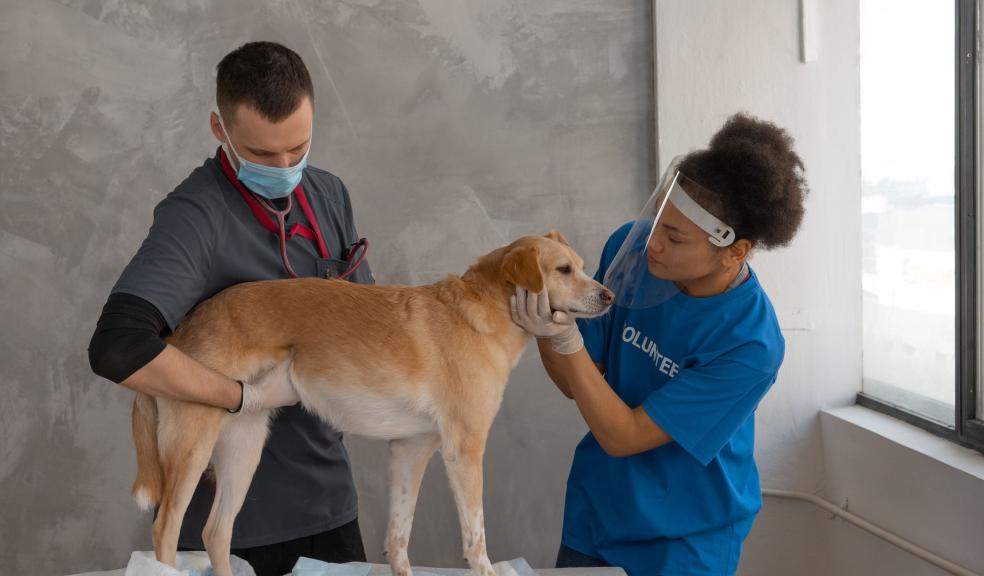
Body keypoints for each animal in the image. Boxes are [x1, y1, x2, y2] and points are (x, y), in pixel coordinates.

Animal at [127, 232, 612, 576]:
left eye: (583, 268)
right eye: (564, 269)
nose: (608, 295)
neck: (482, 312)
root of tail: (179, 332)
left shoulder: (411, 450)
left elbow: (399, 536)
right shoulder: (464, 449)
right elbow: (476, 537)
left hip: (242, 450)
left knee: (216, 532)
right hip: (192, 447)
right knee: (166, 530)